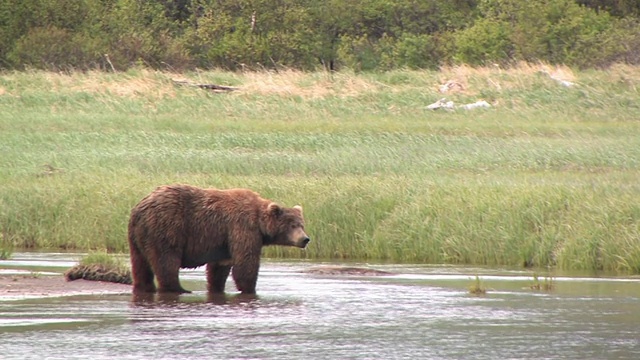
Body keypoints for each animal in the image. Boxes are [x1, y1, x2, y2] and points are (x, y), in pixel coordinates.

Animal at [127, 184, 310, 294]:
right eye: (292, 225)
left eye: (302, 224)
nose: (305, 239)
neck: (260, 223)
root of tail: (139, 209)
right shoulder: (243, 228)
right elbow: (245, 264)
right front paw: (250, 289)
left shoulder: (223, 242)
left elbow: (219, 268)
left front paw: (217, 287)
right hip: (166, 227)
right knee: (166, 260)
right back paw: (179, 289)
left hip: (138, 236)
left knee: (140, 264)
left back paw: (144, 287)